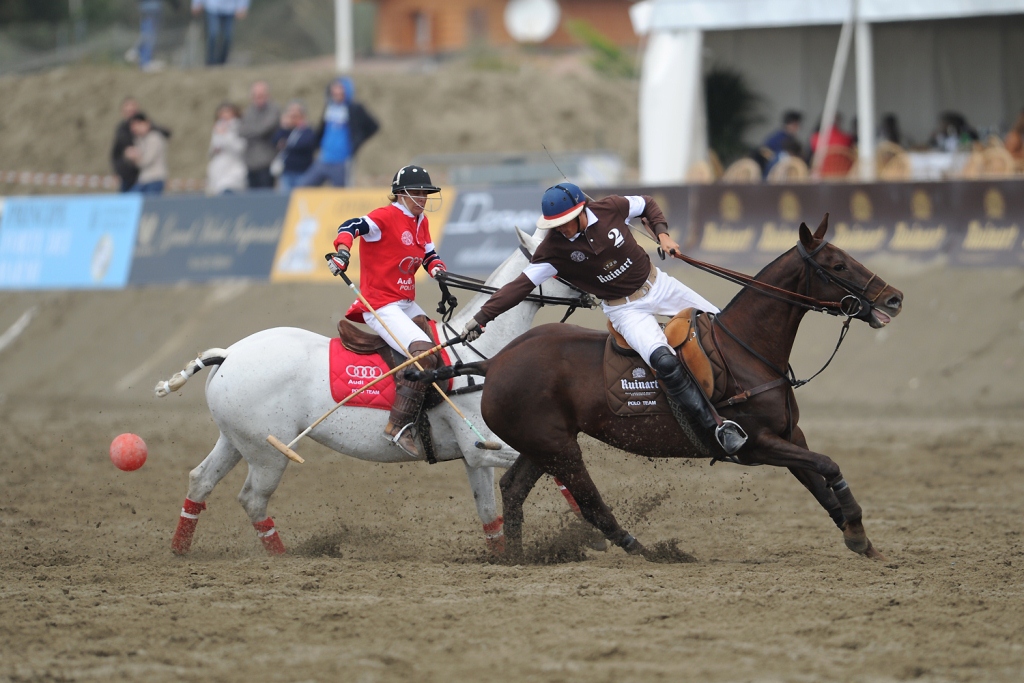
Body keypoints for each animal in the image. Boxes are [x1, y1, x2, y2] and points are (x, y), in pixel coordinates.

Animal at [154, 228, 581, 557]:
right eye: (568, 262)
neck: (480, 353)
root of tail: (228, 354)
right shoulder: (481, 445)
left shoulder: (475, 456)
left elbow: (490, 513)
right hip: (267, 451)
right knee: (252, 499)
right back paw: (282, 559)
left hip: (235, 438)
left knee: (200, 479)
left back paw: (180, 551)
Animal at [411, 218, 901, 561]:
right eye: (837, 266)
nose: (894, 298)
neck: (749, 349)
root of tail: (494, 362)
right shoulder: (757, 444)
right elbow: (829, 466)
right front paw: (858, 531)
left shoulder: (788, 435)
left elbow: (820, 482)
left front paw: (861, 539)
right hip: (559, 447)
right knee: (590, 502)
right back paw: (645, 551)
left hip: (544, 443)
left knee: (513, 489)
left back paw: (515, 558)